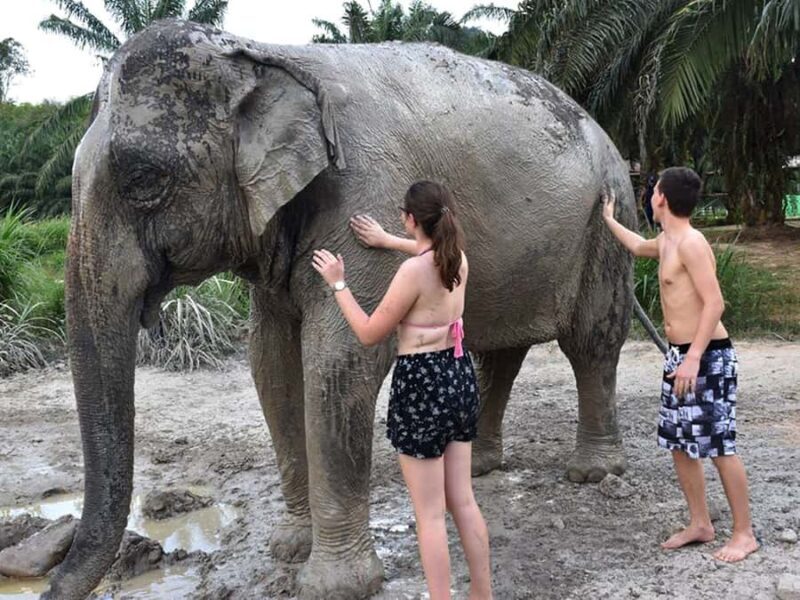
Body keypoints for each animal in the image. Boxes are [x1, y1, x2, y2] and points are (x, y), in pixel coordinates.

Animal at [47, 18, 653, 600]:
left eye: (144, 180)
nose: (50, 586)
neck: (260, 52)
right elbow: (270, 363)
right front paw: (289, 548)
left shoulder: (366, 192)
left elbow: (339, 362)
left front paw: (334, 586)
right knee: (498, 351)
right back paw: (480, 464)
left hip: (609, 218)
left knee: (592, 341)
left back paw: (593, 473)